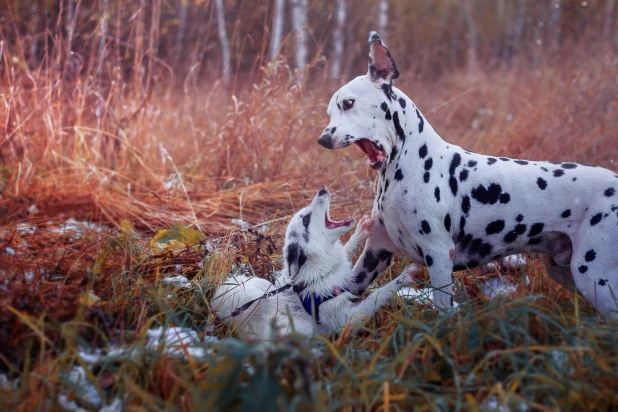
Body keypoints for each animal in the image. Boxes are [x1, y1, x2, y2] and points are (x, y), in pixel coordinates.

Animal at [318, 30, 616, 318]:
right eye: (330, 110)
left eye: (348, 103)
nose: (323, 139)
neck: (407, 166)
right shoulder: (374, 254)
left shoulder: (438, 257)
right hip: (566, 272)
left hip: (595, 277)